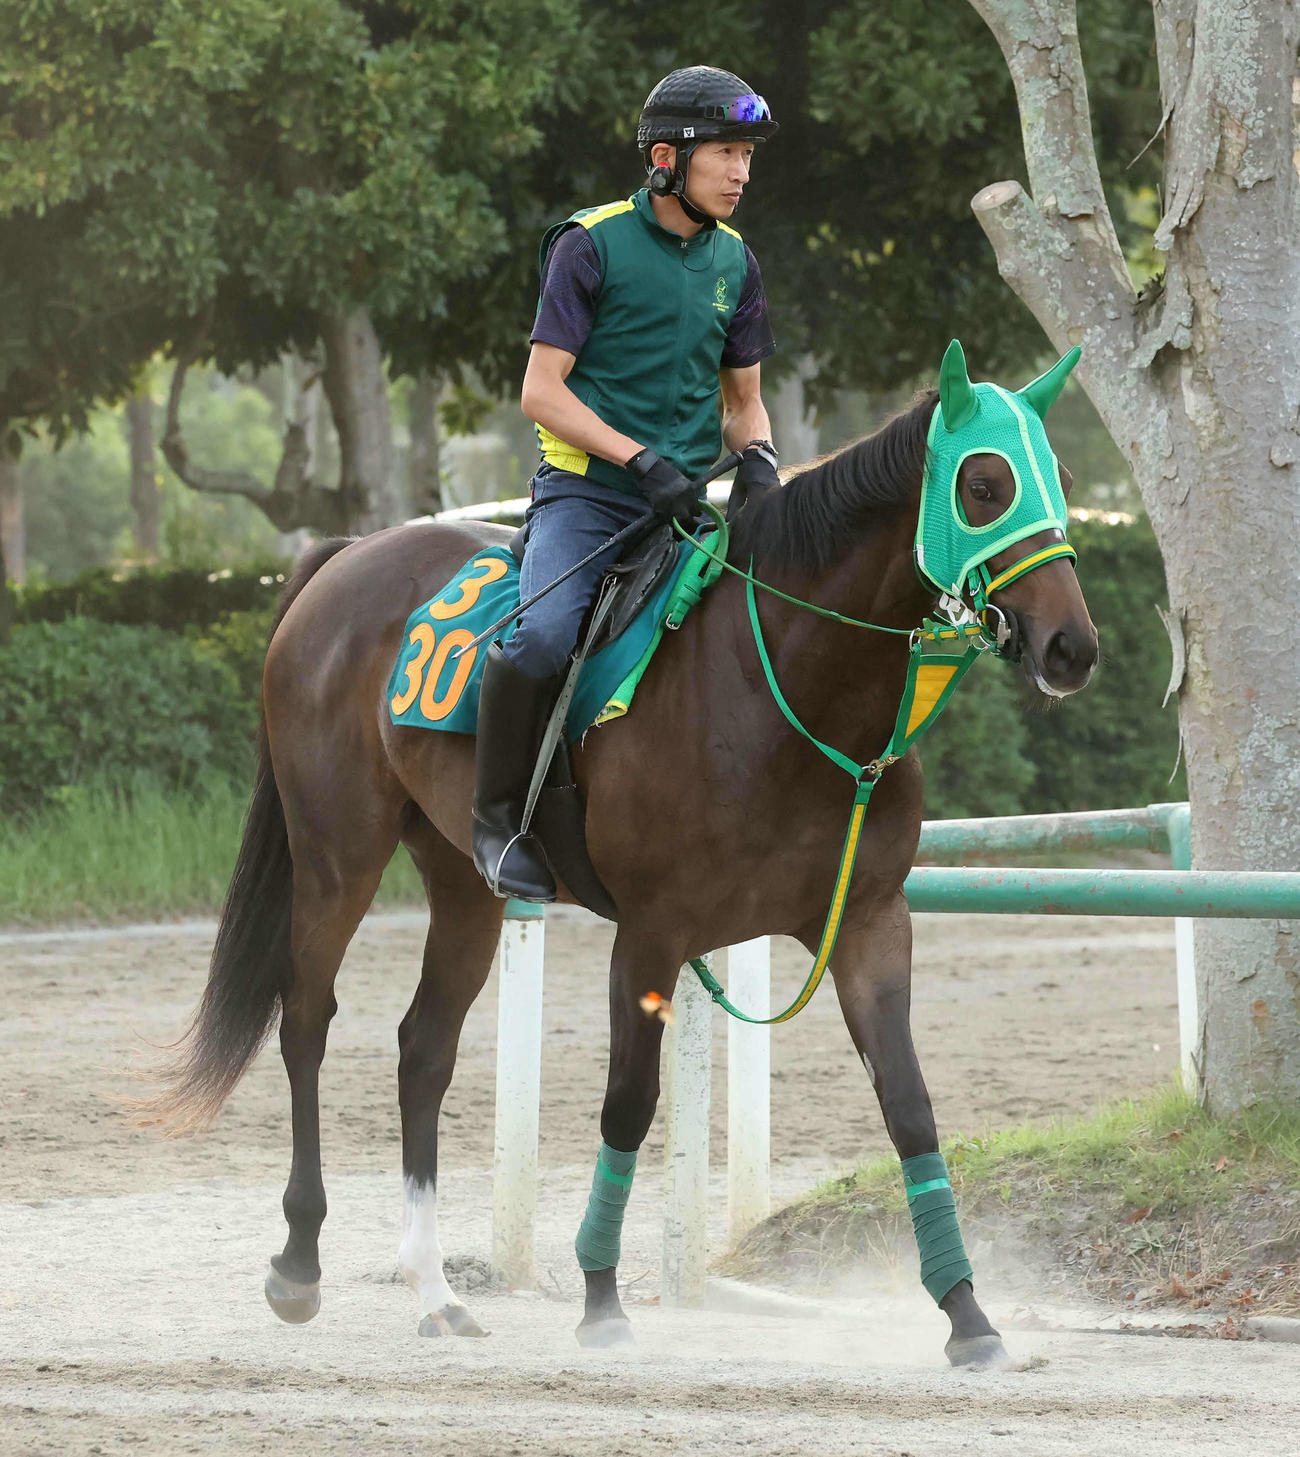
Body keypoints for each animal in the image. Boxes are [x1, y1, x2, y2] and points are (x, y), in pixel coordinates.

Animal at [151, 346, 1098, 1366]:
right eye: (983, 485)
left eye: (1061, 477)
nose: (1071, 646)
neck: (781, 684)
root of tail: (349, 555)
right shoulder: (650, 933)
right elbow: (628, 1105)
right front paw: (601, 1296)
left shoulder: (868, 923)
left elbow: (910, 1106)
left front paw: (967, 1313)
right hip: (338, 853)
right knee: (306, 1020)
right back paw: (298, 1260)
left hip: (465, 881)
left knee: (424, 1048)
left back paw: (436, 1288)